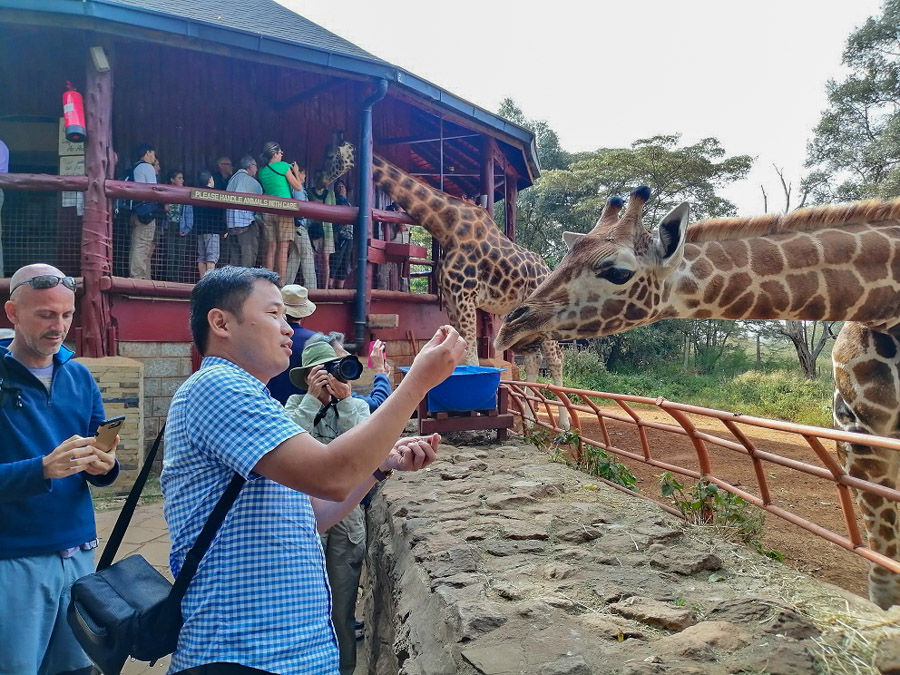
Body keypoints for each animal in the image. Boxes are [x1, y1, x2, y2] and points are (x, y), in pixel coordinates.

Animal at [372, 156, 568, 428]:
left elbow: (474, 359)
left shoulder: (465, 296)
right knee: (533, 360)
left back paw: (565, 425)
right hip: (523, 322)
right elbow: (463, 356)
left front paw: (474, 407)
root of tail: (548, 271)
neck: (447, 226)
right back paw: (530, 421)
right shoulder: (452, 299)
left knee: (556, 358)